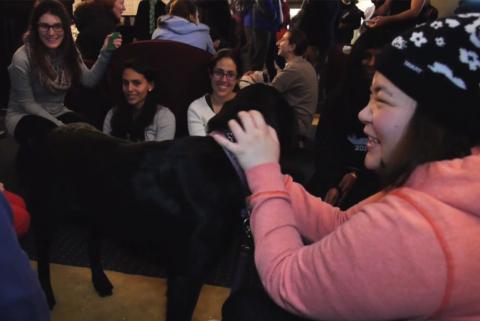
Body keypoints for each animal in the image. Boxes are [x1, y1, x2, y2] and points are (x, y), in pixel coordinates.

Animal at [22, 84, 300, 318]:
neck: (227, 155)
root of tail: (51, 132)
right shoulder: (186, 276)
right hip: (45, 214)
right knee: (43, 262)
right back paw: (47, 297)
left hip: (101, 210)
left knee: (92, 243)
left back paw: (100, 281)